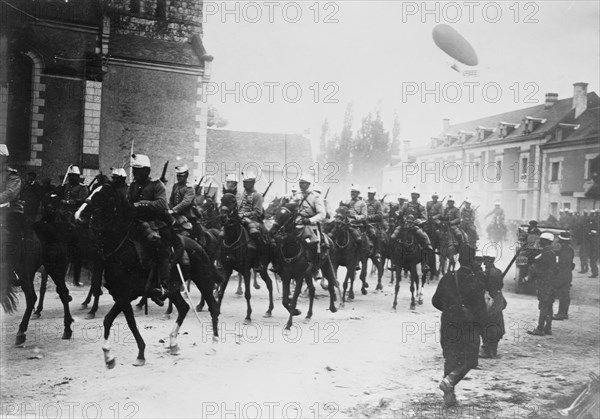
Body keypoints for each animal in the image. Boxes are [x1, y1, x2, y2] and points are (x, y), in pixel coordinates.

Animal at [75, 185, 220, 370]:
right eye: (92, 190)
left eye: (102, 196)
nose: (78, 215)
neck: (122, 249)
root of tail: (199, 246)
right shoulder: (120, 296)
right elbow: (130, 323)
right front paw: (139, 354)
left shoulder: (126, 294)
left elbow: (108, 319)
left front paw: (108, 355)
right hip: (173, 288)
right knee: (183, 308)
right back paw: (173, 343)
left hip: (203, 280)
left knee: (213, 307)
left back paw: (213, 345)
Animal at [217, 192, 276, 324]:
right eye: (221, 200)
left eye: (232, 202)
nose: (222, 216)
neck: (232, 239)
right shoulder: (226, 269)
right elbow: (220, 291)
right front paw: (216, 312)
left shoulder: (246, 270)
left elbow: (247, 294)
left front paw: (248, 316)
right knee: (269, 283)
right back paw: (269, 310)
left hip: (262, 267)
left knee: (269, 284)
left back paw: (269, 311)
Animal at [270, 202, 340, 330]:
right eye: (277, 212)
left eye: (287, 216)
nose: (272, 231)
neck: (292, 249)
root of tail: (329, 239)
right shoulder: (286, 276)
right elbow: (284, 300)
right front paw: (296, 312)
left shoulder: (298, 277)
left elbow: (293, 299)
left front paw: (289, 324)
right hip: (308, 274)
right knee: (312, 290)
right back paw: (308, 315)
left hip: (327, 267)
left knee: (331, 283)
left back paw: (333, 307)